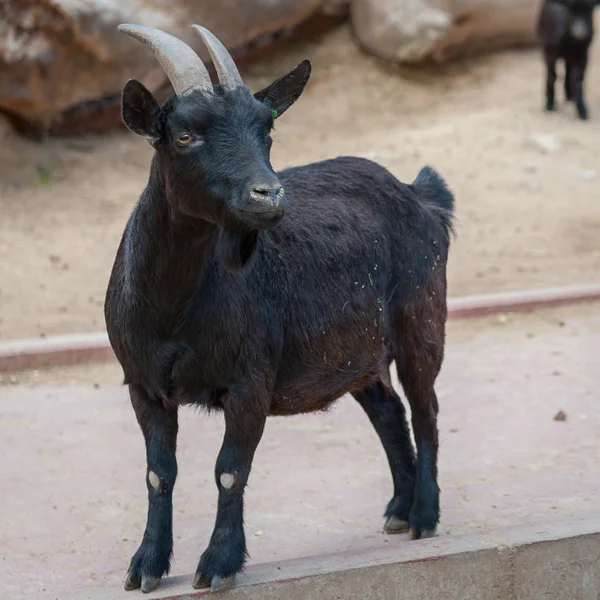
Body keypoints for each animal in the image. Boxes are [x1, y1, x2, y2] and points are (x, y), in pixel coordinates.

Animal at [106, 23, 454, 596]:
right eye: (184, 135)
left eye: (266, 129)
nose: (267, 195)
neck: (174, 312)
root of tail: (419, 193)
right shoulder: (144, 385)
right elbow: (159, 472)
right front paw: (147, 566)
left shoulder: (250, 381)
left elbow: (229, 469)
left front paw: (219, 564)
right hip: (356, 351)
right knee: (389, 410)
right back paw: (399, 510)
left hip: (422, 320)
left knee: (426, 409)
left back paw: (425, 516)